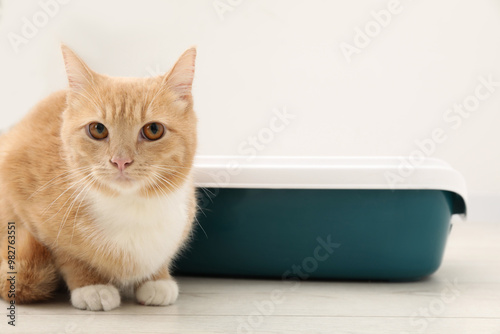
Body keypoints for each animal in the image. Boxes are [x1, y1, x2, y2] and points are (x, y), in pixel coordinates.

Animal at [0, 45, 198, 310]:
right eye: (98, 129)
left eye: (153, 130)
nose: (121, 161)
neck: (131, 207)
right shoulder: (20, 194)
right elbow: (66, 253)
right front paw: (91, 285)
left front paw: (157, 279)